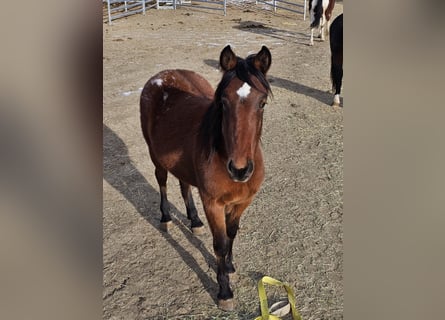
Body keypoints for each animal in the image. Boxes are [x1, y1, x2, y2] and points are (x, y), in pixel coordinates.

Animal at [139, 45, 270, 310]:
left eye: (262, 103)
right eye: (223, 101)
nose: (240, 170)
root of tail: (162, 75)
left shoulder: (242, 202)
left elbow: (231, 234)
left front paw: (229, 267)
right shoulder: (213, 203)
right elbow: (219, 244)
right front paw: (224, 292)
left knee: (184, 185)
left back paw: (195, 221)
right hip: (156, 158)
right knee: (163, 183)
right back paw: (166, 218)